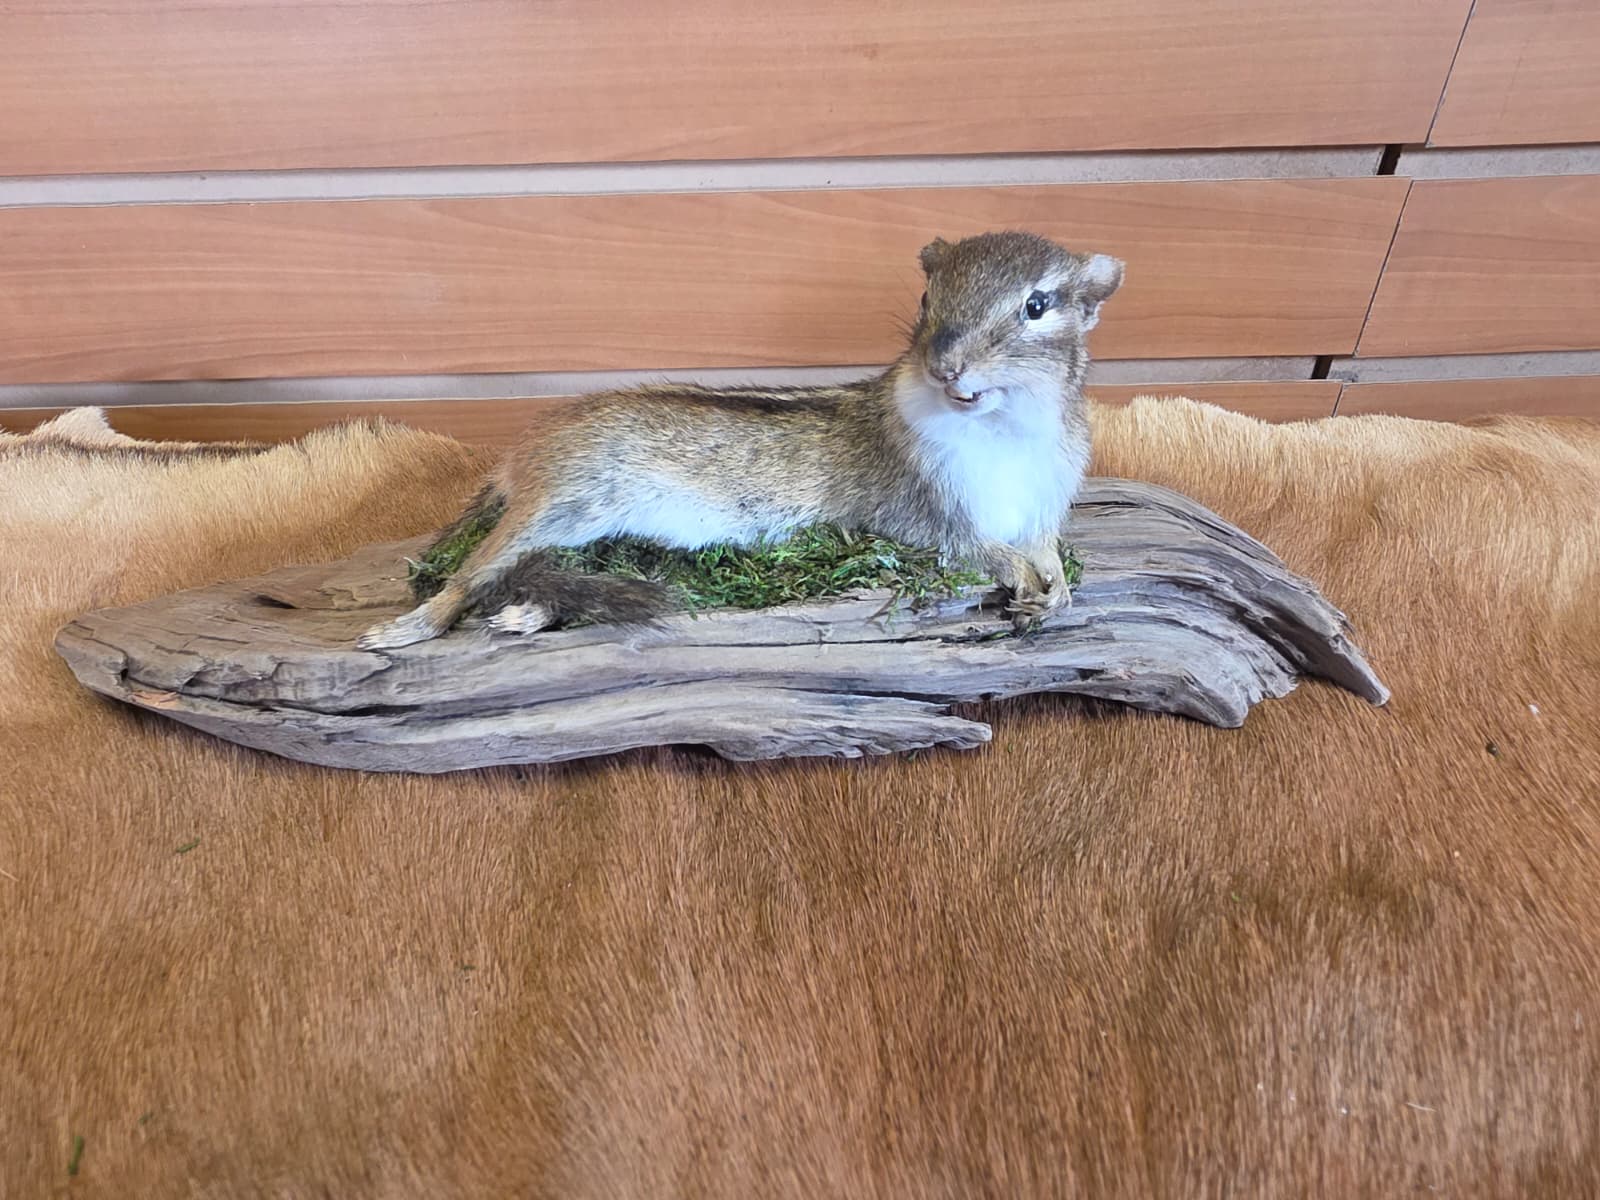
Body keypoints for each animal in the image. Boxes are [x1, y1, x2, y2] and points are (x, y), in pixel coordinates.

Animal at [358, 230, 1123, 650]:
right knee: (472, 573)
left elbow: (1046, 549)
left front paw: (1055, 590)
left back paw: (522, 616)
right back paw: (408, 627)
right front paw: (1019, 574)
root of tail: (522, 455)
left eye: (1036, 305)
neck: (1002, 426)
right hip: (558, 506)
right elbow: (976, 548)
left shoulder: (1043, 504)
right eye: (926, 300)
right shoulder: (919, 513)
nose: (946, 366)